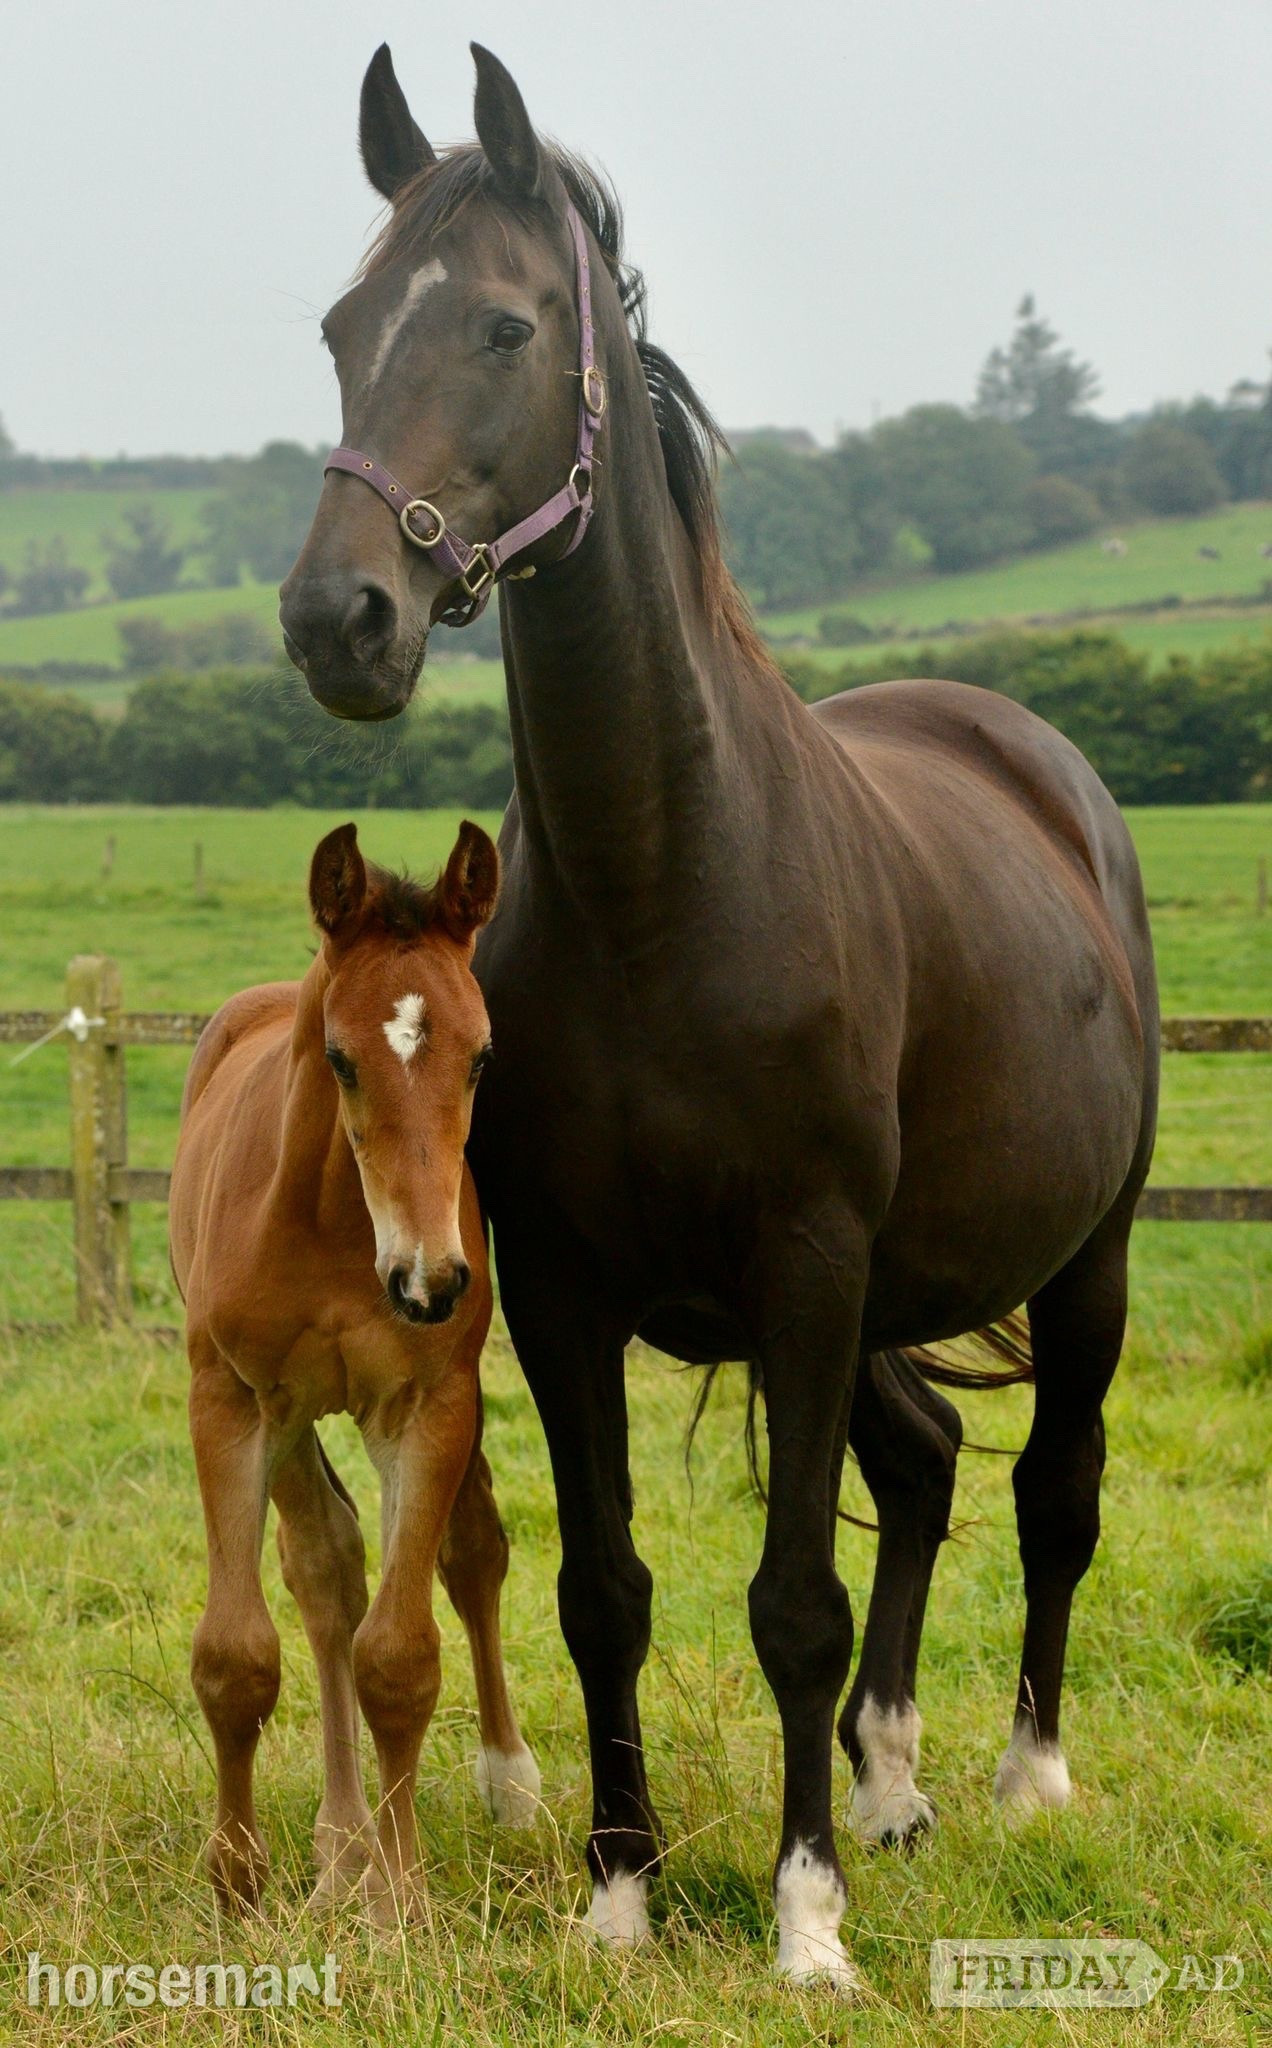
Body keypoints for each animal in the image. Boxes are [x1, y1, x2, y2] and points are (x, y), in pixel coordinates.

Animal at [168, 819, 540, 1921]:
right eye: (340, 1058)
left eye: (483, 1053)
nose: (431, 1279)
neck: (340, 1225)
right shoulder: (234, 1400)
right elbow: (237, 1653)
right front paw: (236, 1877)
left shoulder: (425, 1406)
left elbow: (400, 1654)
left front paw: (403, 1897)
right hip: (291, 1419)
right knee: (324, 1568)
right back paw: (338, 1844)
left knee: (467, 1554)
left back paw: (495, 1788)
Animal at [279, 44, 1159, 1991]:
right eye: (343, 325)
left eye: (508, 326)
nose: (337, 618)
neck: (666, 879)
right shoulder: (564, 1288)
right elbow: (604, 1588)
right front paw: (618, 1895)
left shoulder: (809, 1264)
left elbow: (791, 1601)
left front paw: (803, 1920)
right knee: (926, 1463)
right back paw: (894, 1783)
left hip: (1084, 1256)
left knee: (1052, 1486)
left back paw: (1025, 1779)